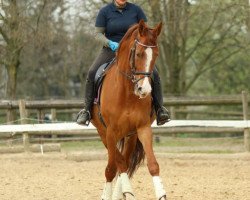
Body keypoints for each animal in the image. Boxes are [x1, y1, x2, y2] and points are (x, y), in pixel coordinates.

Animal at [91, 19, 167, 200]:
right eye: (138, 54)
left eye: (156, 55)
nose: (144, 90)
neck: (126, 93)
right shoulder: (110, 132)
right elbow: (115, 166)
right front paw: (122, 192)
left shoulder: (142, 128)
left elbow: (152, 164)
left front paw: (161, 194)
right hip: (103, 133)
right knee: (115, 165)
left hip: (130, 137)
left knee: (123, 161)